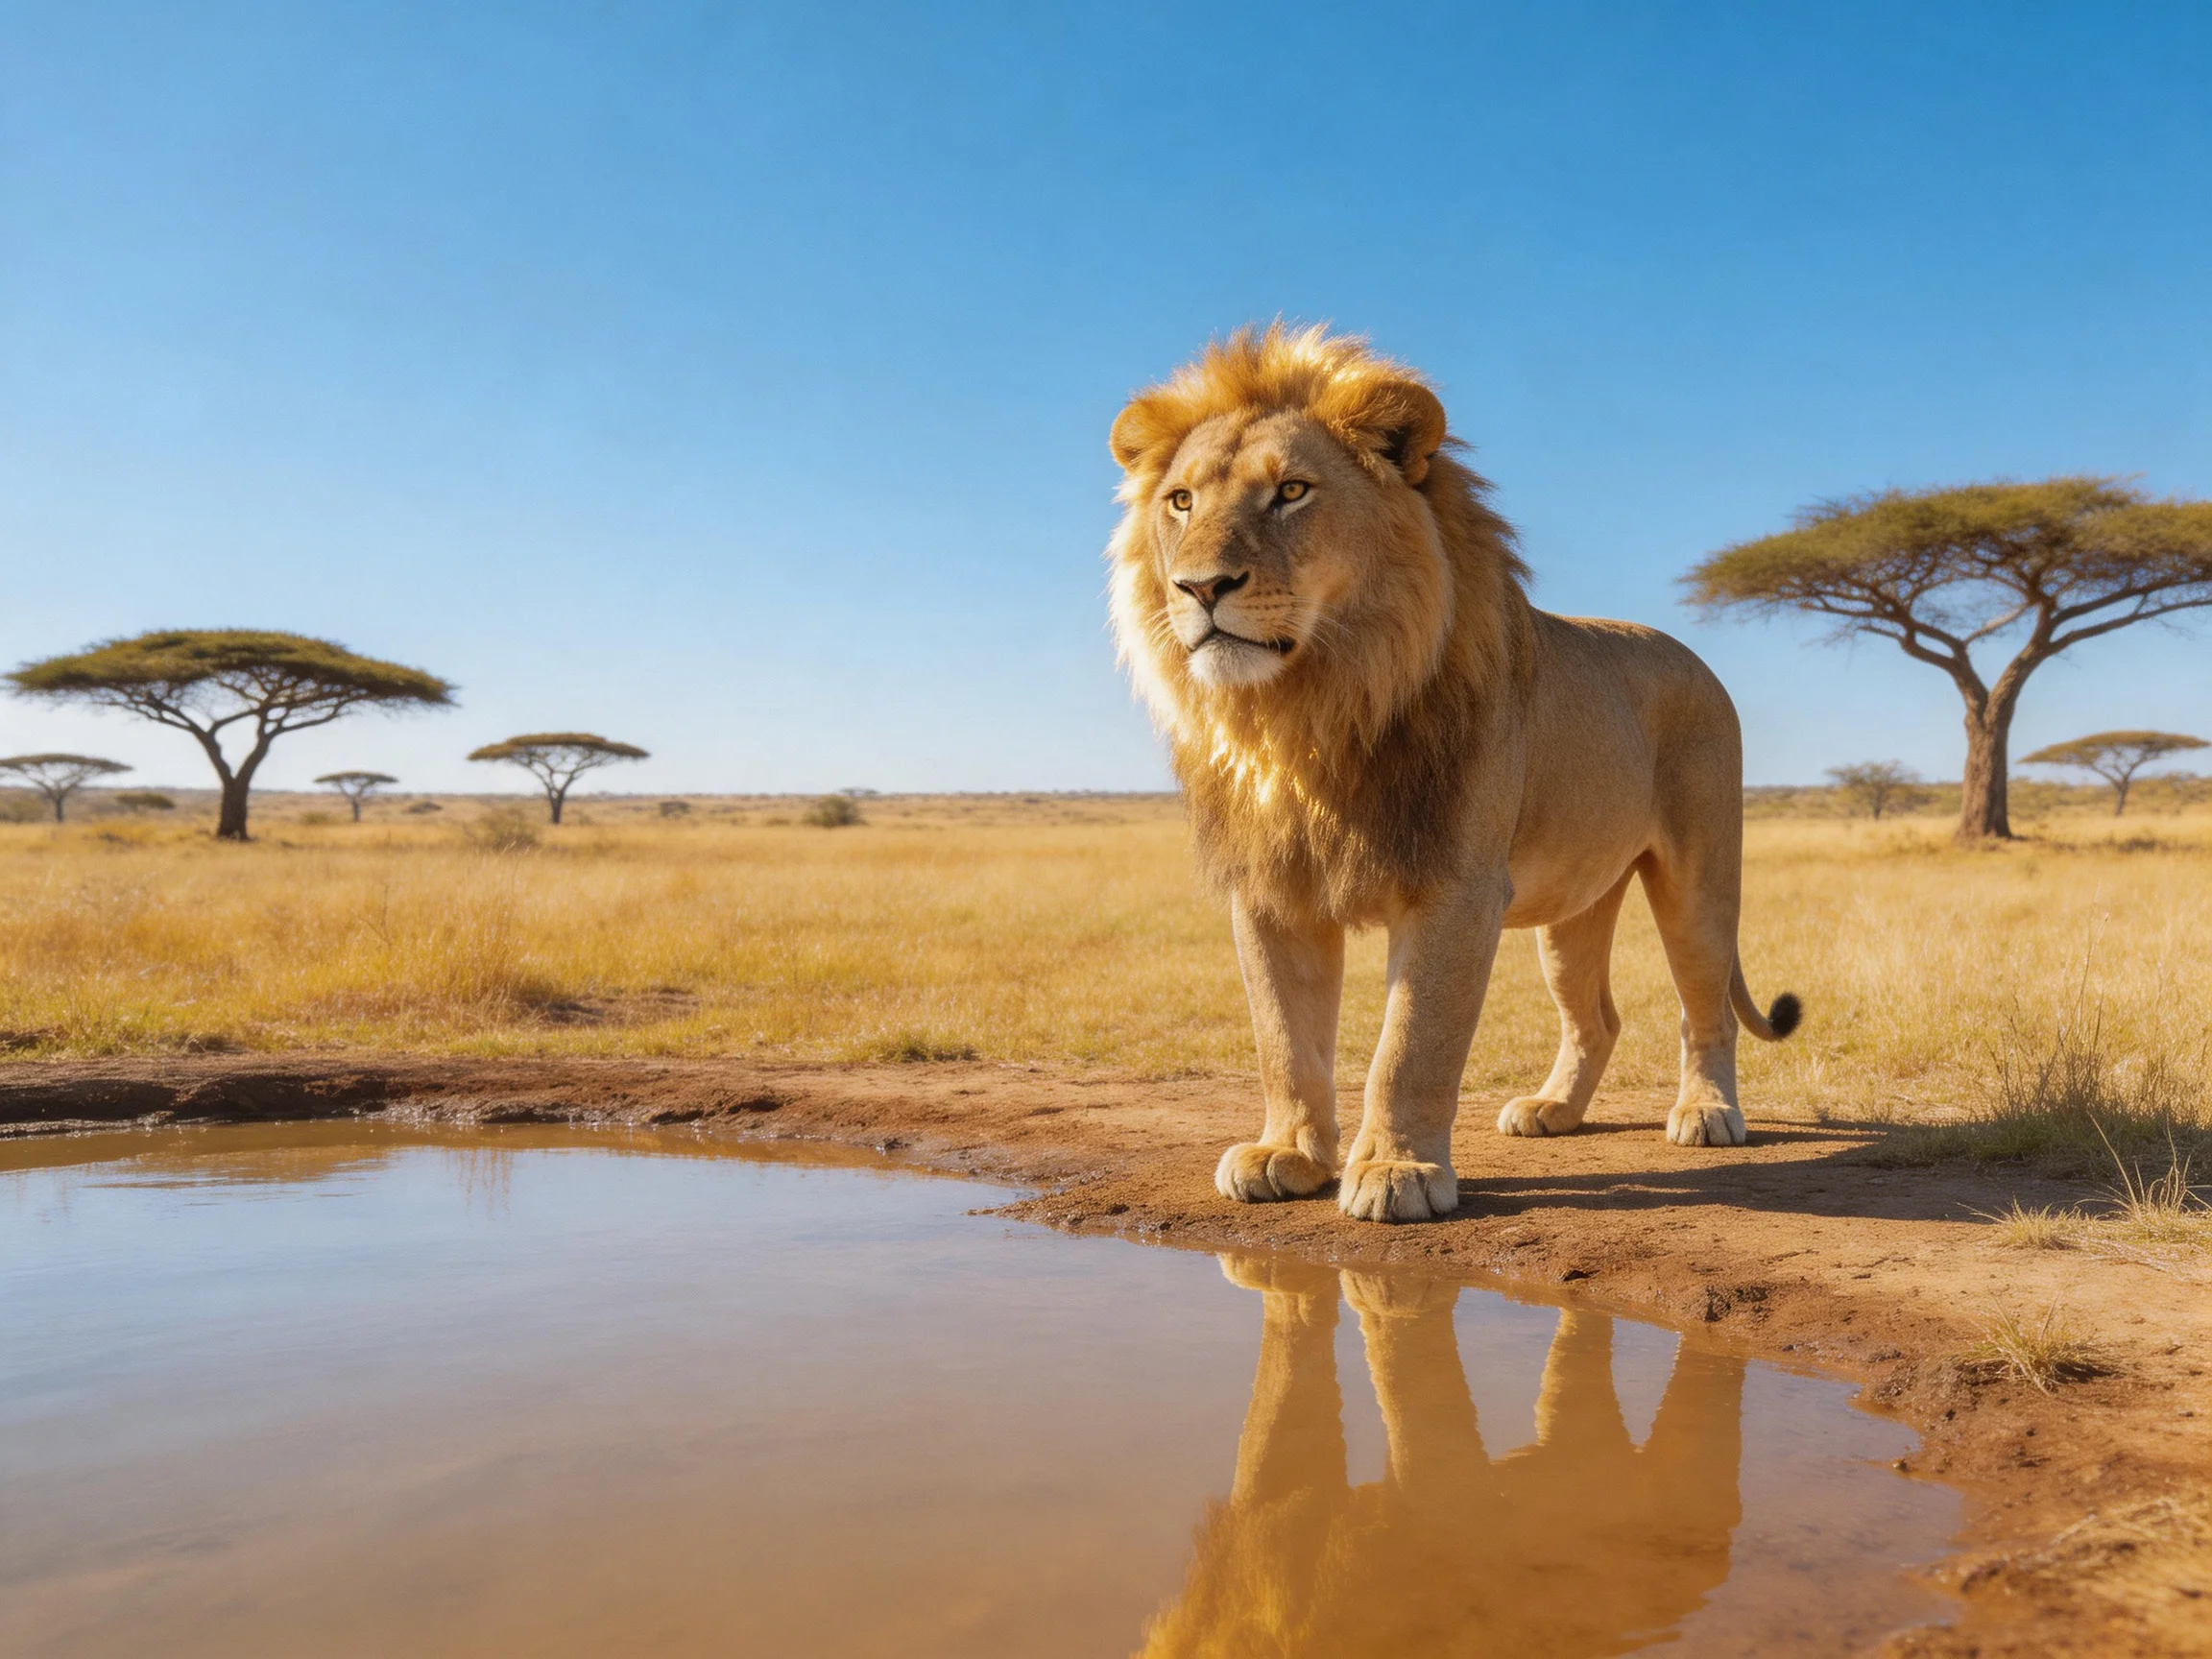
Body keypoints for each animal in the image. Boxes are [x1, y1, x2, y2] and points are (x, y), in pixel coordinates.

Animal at [1106, 325, 1800, 1223]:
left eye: (1291, 491)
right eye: (1182, 502)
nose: (1199, 586)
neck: (1308, 712)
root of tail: (1693, 657)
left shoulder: (1456, 887)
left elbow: (1411, 1044)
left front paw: (1396, 1170)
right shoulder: (1270, 890)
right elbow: (1284, 1040)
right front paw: (1287, 1154)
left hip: (1698, 875)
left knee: (1703, 1004)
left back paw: (1708, 1114)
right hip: (1573, 905)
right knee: (1598, 1016)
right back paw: (1553, 1111)